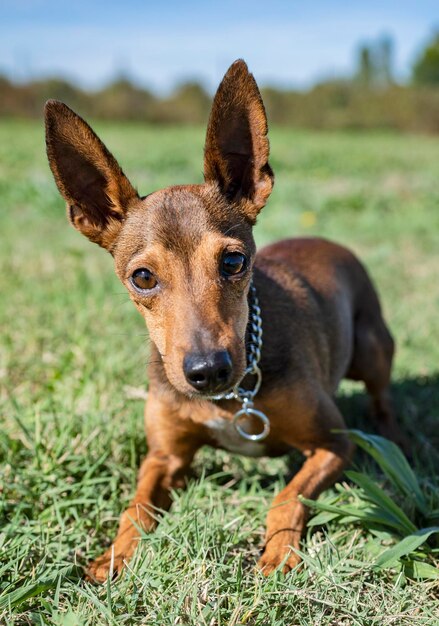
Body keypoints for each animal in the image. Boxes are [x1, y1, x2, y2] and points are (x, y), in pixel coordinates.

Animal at [43, 59, 400, 580]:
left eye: (233, 262)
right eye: (142, 277)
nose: (207, 371)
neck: (231, 401)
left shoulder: (334, 443)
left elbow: (286, 495)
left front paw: (278, 551)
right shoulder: (165, 456)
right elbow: (135, 507)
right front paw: (112, 557)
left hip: (372, 350)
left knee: (381, 395)